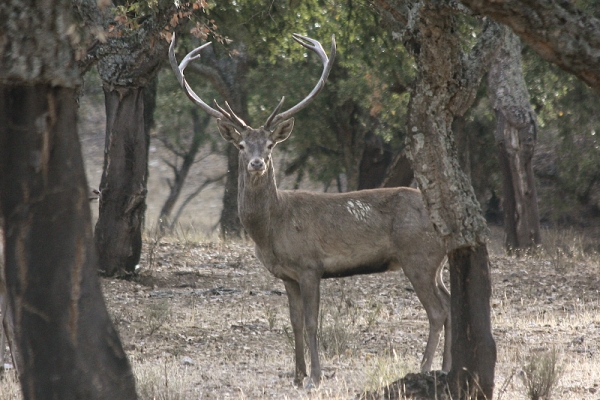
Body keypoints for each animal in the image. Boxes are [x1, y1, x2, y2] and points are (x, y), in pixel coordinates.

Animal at [169, 32, 450, 390]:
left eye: (270, 145)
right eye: (242, 145)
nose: (257, 163)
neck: (271, 229)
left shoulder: (310, 265)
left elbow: (313, 322)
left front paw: (315, 377)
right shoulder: (286, 274)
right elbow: (294, 322)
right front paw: (296, 374)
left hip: (418, 256)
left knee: (438, 312)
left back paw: (425, 368)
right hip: (436, 262)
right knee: (451, 305)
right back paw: (447, 367)